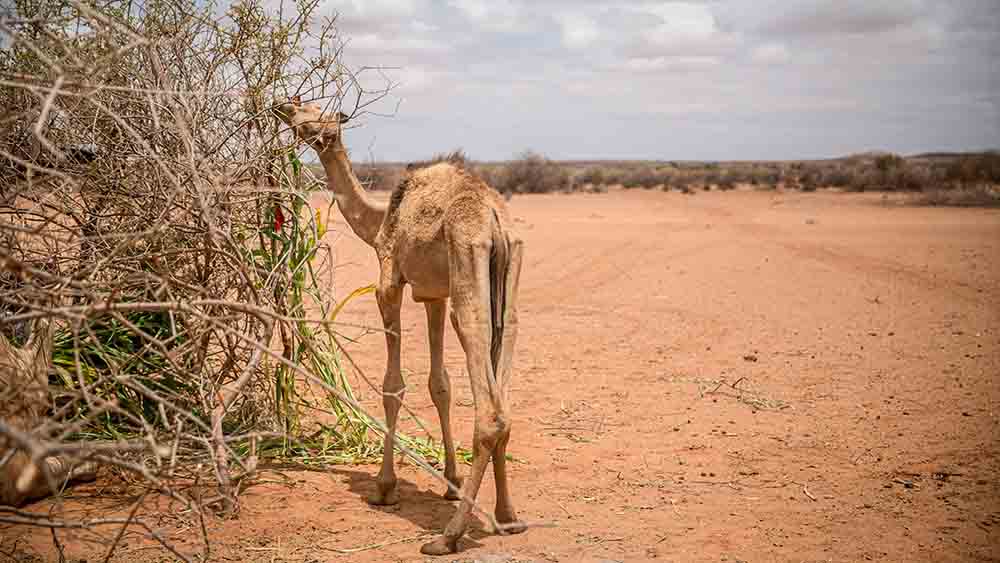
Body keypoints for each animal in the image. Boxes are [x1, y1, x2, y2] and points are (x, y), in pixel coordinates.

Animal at [274, 98, 524, 556]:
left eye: (311, 109)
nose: (281, 104)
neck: (379, 219)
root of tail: (495, 221)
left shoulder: (388, 282)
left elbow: (393, 386)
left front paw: (384, 486)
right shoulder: (433, 294)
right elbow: (440, 384)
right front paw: (451, 483)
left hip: (469, 270)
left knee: (490, 408)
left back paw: (448, 536)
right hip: (509, 281)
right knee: (504, 378)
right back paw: (507, 516)